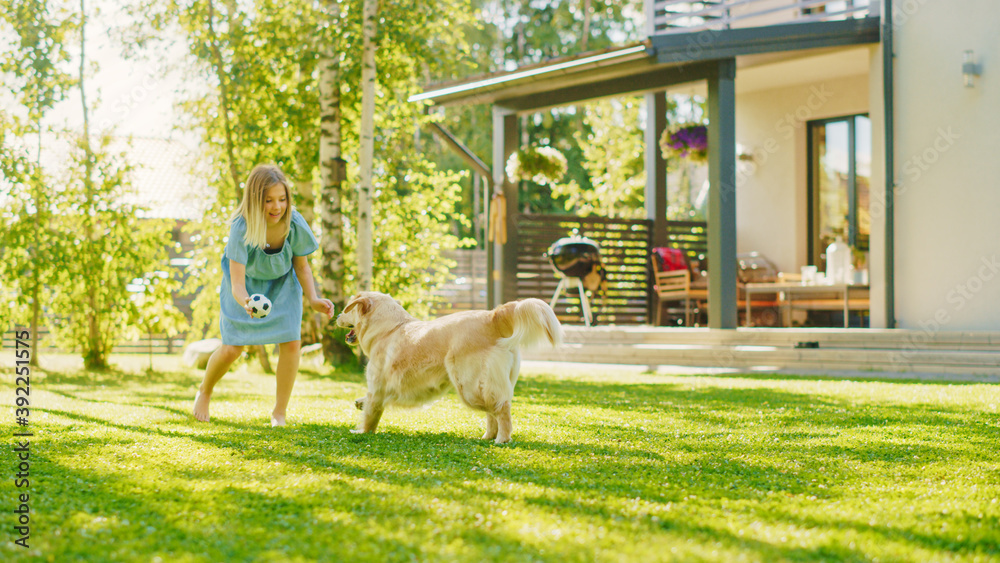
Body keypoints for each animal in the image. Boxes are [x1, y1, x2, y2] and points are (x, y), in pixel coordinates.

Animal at [336, 290, 564, 446]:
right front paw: (360, 402)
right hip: (481, 385)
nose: (337, 315)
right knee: (492, 411)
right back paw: (488, 437)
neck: (389, 329)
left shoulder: (377, 387)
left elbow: (371, 415)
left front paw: (362, 431)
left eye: (349, 307)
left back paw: (502, 439)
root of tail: (492, 316)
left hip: (469, 385)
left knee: (501, 408)